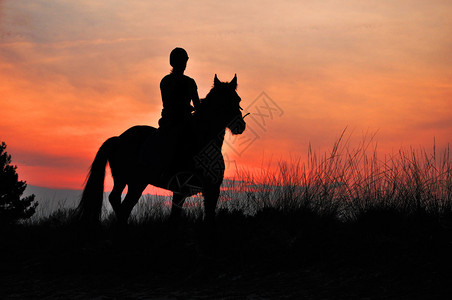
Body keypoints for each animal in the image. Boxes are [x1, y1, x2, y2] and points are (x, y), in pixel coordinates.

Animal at [77, 74, 247, 227]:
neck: (203, 145)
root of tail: (118, 138)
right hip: (126, 179)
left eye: (237, 99)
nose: (240, 125)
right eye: (222, 103)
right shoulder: (180, 191)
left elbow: (209, 218)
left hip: (137, 182)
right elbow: (174, 218)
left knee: (123, 205)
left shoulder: (212, 189)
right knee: (118, 201)